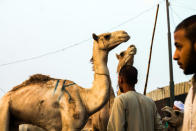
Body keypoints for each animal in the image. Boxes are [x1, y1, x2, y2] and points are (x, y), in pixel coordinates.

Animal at [0, 30, 130, 130]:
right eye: (107, 36)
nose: (125, 33)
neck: (86, 97)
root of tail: (4, 97)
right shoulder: (70, 125)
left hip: (14, 121)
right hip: (3, 111)